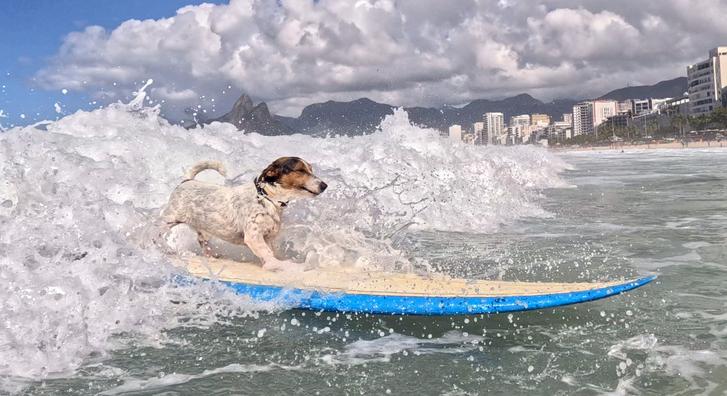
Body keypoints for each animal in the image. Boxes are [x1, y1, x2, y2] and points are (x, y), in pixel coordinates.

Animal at [163, 158, 330, 272]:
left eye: (311, 169)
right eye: (300, 170)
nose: (325, 185)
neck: (267, 199)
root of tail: (186, 181)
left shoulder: (267, 237)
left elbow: (268, 252)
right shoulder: (253, 236)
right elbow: (268, 254)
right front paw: (279, 265)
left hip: (204, 230)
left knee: (202, 241)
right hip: (169, 219)